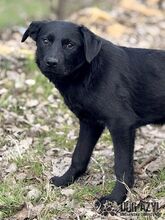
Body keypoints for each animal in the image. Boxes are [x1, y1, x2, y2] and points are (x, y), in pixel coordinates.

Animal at [21, 20, 165, 206]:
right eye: (45, 40)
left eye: (70, 44)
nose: (51, 62)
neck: (88, 73)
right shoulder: (89, 123)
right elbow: (79, 156)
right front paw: (65, 180)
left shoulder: (121, 124)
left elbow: (121, 165)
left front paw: (117, 197)